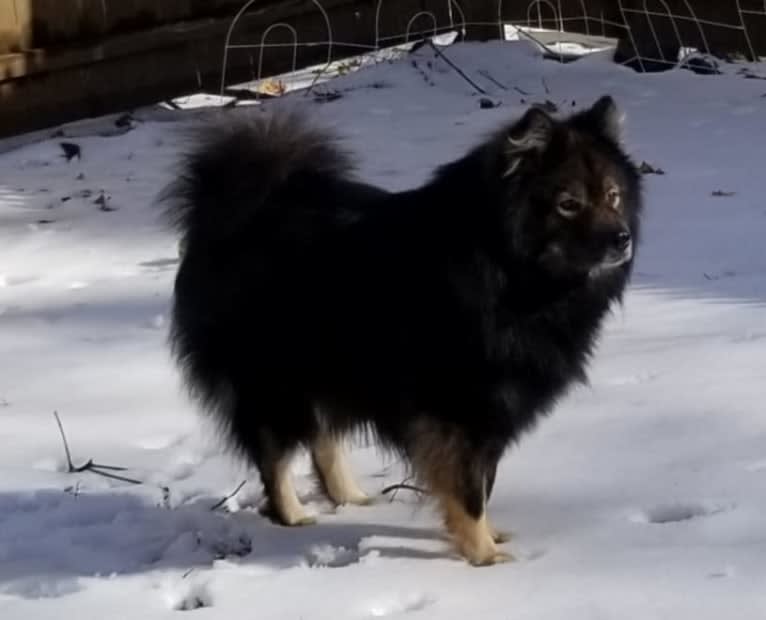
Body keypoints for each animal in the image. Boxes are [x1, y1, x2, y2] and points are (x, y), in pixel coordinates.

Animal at [165, 98, 644, 568]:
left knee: (323, 441)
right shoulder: (459, 412)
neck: (506, 270)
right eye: (569, 204)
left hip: (329, 372)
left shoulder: (486, 415)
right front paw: (483, 555)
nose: (622, 239)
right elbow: (470, 490)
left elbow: (482, 482)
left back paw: (350, 498)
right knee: (275, 456)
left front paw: (487, 538)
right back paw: (294, 518)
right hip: (277, 385)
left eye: (613, 196)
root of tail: (243, 204)